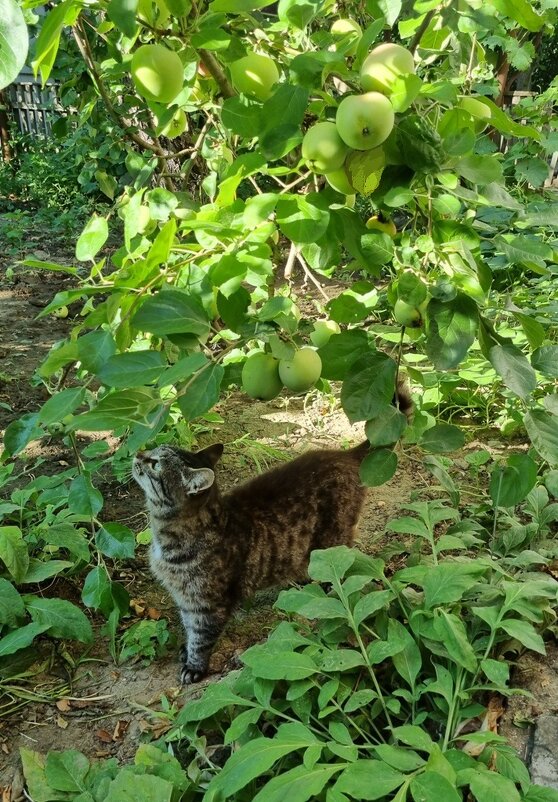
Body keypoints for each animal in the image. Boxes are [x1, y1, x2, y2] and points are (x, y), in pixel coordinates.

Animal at [131, 384, 412, 680]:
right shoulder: (185, 600)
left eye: (155, 463)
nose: (137, 453)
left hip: (334, 540)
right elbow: (187, 628)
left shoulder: (206, 605)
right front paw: (186, 653)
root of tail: (344, 455)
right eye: (152, 451)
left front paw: (194, 666)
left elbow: (200, 637)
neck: (164, 537)